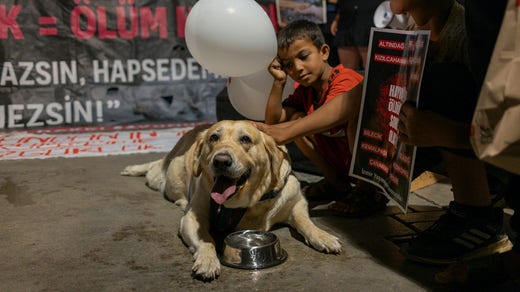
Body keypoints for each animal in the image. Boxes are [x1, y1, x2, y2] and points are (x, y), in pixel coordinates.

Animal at [121, 120, 342, 280]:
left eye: (245, 139)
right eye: (214, 137)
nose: (221, 161)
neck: (249, 202)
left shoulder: (296, 202)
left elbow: (306, 223)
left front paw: (324, 237)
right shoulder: (193, 217)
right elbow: (206, 240)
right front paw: (208, 260)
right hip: (162, 179)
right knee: (154, 166)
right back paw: (133, 169)